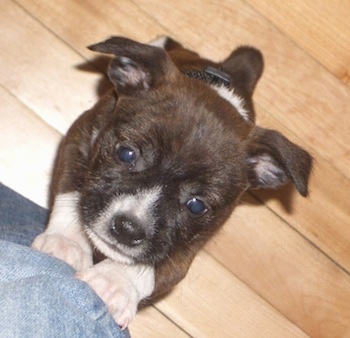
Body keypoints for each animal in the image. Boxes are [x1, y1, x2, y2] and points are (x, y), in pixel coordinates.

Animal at [32, 36, 312, 328]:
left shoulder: (188, 244)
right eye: (126, 153)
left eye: (196, 205)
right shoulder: (79, 138)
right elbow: (72, 192)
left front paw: (114, 282)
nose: (128, 228)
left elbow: (159, 265)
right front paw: (67, 243)